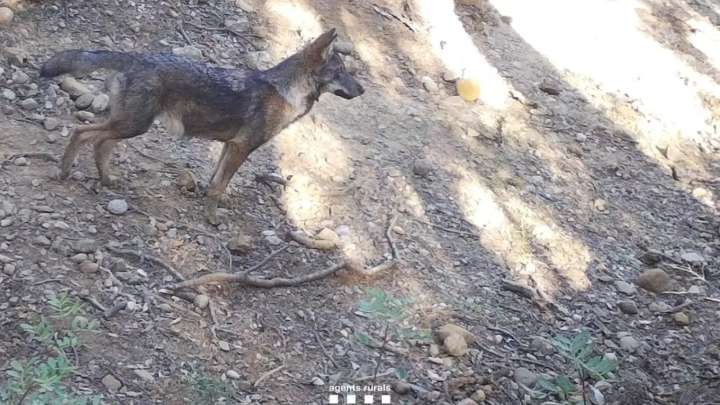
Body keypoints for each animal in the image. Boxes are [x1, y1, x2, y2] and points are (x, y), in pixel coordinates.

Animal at [40, 29, 364, 224]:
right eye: (341, 72)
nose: (362, 90)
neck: (286, 92)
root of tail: (136, 57)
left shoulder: (229, 146)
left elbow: (215, 181)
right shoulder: (241, 148)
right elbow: (219, 187)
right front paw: (212, 219)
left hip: (129, 126)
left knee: (99, 143)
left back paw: (106, 179)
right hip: (132, 126)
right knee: (82, 133)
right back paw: (65, 172)